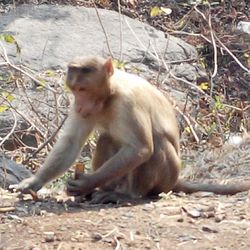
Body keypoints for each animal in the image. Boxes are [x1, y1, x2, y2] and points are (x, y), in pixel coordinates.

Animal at [13, 55, 250, 202]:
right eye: (74, 90)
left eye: (83, 89)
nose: (79, 104)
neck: (110, 95)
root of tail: (175, 180)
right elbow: (71, 143)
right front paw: (34, 182)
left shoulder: (129, 101)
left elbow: (141, 148)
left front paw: (86, 182)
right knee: (106, 138)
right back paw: (104, 190)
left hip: (165, 180)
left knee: (156, 144)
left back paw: (128, 195)